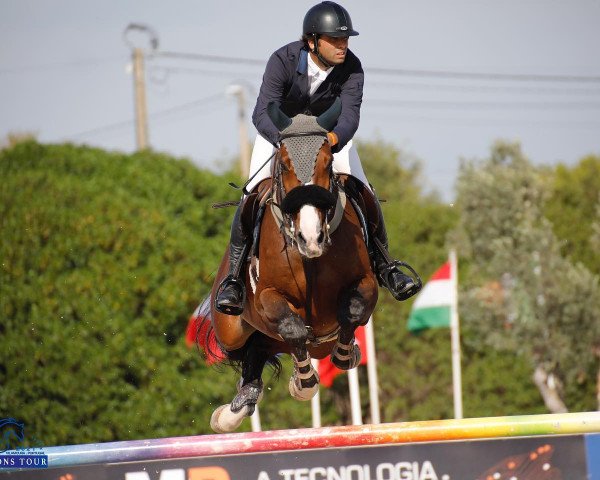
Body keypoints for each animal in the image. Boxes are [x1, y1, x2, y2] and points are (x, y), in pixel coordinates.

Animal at [199, 99, 378, 434]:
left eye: (327, 163)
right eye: (283, 165)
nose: (311, 238)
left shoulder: (366, 282)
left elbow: (354, 310)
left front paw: (345, 354)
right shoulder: (267, 296)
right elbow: (292, 328)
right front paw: (304, 381)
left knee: (264, 348)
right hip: (230, 328)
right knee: (252, 348)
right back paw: (234, 410)